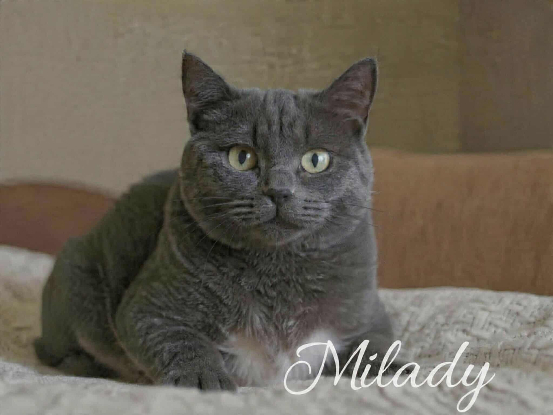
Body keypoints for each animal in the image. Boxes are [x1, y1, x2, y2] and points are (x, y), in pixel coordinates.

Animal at [34, 51, 405, 390]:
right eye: (241, 157)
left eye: (316, 159)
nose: (279, 191)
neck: (279, 271)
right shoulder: (148, 308)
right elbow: (180, 342)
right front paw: (204, 380)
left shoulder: (367, 311)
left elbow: (377, 345)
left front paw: (393, 371)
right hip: (77, 275)